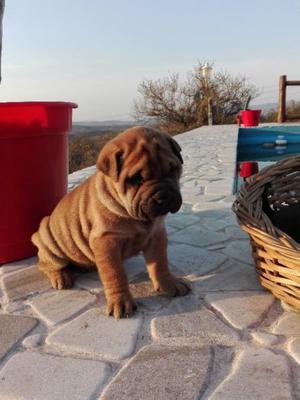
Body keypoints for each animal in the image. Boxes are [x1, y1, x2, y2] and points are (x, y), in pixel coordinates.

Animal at [31, 126, 190, 318]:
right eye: (136, 179)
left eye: (173, 170)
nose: (163, 196)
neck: (132, 215)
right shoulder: (106, 242)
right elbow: (115, 274)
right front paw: (120, 302)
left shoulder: (157, 235)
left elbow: (160, 265)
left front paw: (169, 285)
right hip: (50, 245)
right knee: (46, 265)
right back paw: (61, 277)